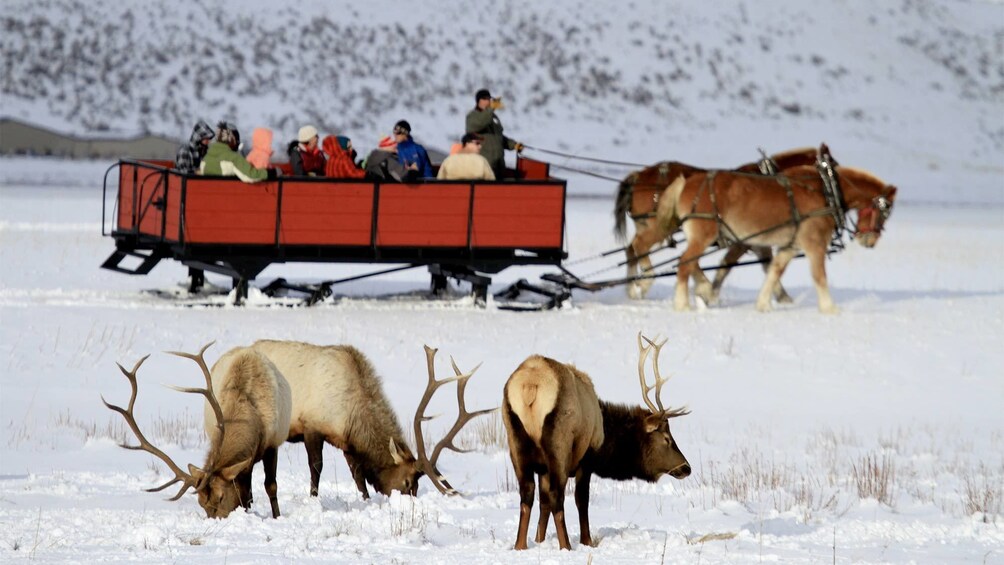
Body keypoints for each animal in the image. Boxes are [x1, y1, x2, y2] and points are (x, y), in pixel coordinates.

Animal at [105, 343, 293, 517]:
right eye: (201, 503)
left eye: (221, 497)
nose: (216, 521)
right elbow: (246, 493)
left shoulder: (273, 443)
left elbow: (270, 486)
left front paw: (276, 516)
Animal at [246, 339, 489, 497]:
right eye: (407, 482)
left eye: (416, 486)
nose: (408, 500)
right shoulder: (312, 426)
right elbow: (316, 467)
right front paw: (314, 497)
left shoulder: (347, 444)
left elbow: (359, 477)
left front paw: (365, 499)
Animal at [501, 333, 690, 549]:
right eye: (667, 438)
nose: (687, 468)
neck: (605, 441)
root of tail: (530, 386)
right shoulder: (587, 459)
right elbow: (581, 500)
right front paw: (587, 541)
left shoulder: (543, 469)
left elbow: (544, 504)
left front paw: (539, 540)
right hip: (559, 444)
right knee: (558, 496)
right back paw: (566, 546)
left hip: (515, 439)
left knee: (527, 494)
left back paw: (520, 546)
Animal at [610, 148, 823, 303]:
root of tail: (639, 175)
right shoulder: (745, 240)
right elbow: (728, 264)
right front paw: (711, 292)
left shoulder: (756, 241)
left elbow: (766, 264)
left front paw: (782, 297)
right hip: (661, 226)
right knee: (641, 247)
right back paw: (650, 280)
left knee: (632, 250)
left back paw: (632, 287)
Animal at [654, 163, 899, 313]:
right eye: (885, 211)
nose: (870, 241)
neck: (825, 190)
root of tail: (686, 182)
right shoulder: (815, 244)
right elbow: (819, 276)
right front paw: (829, 308)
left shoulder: (789, 247)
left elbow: (774, 271)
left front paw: (763, 304)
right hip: (704, 235)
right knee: (684, 263)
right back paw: (683, 304)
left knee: (692, 264)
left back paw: (703, 290)